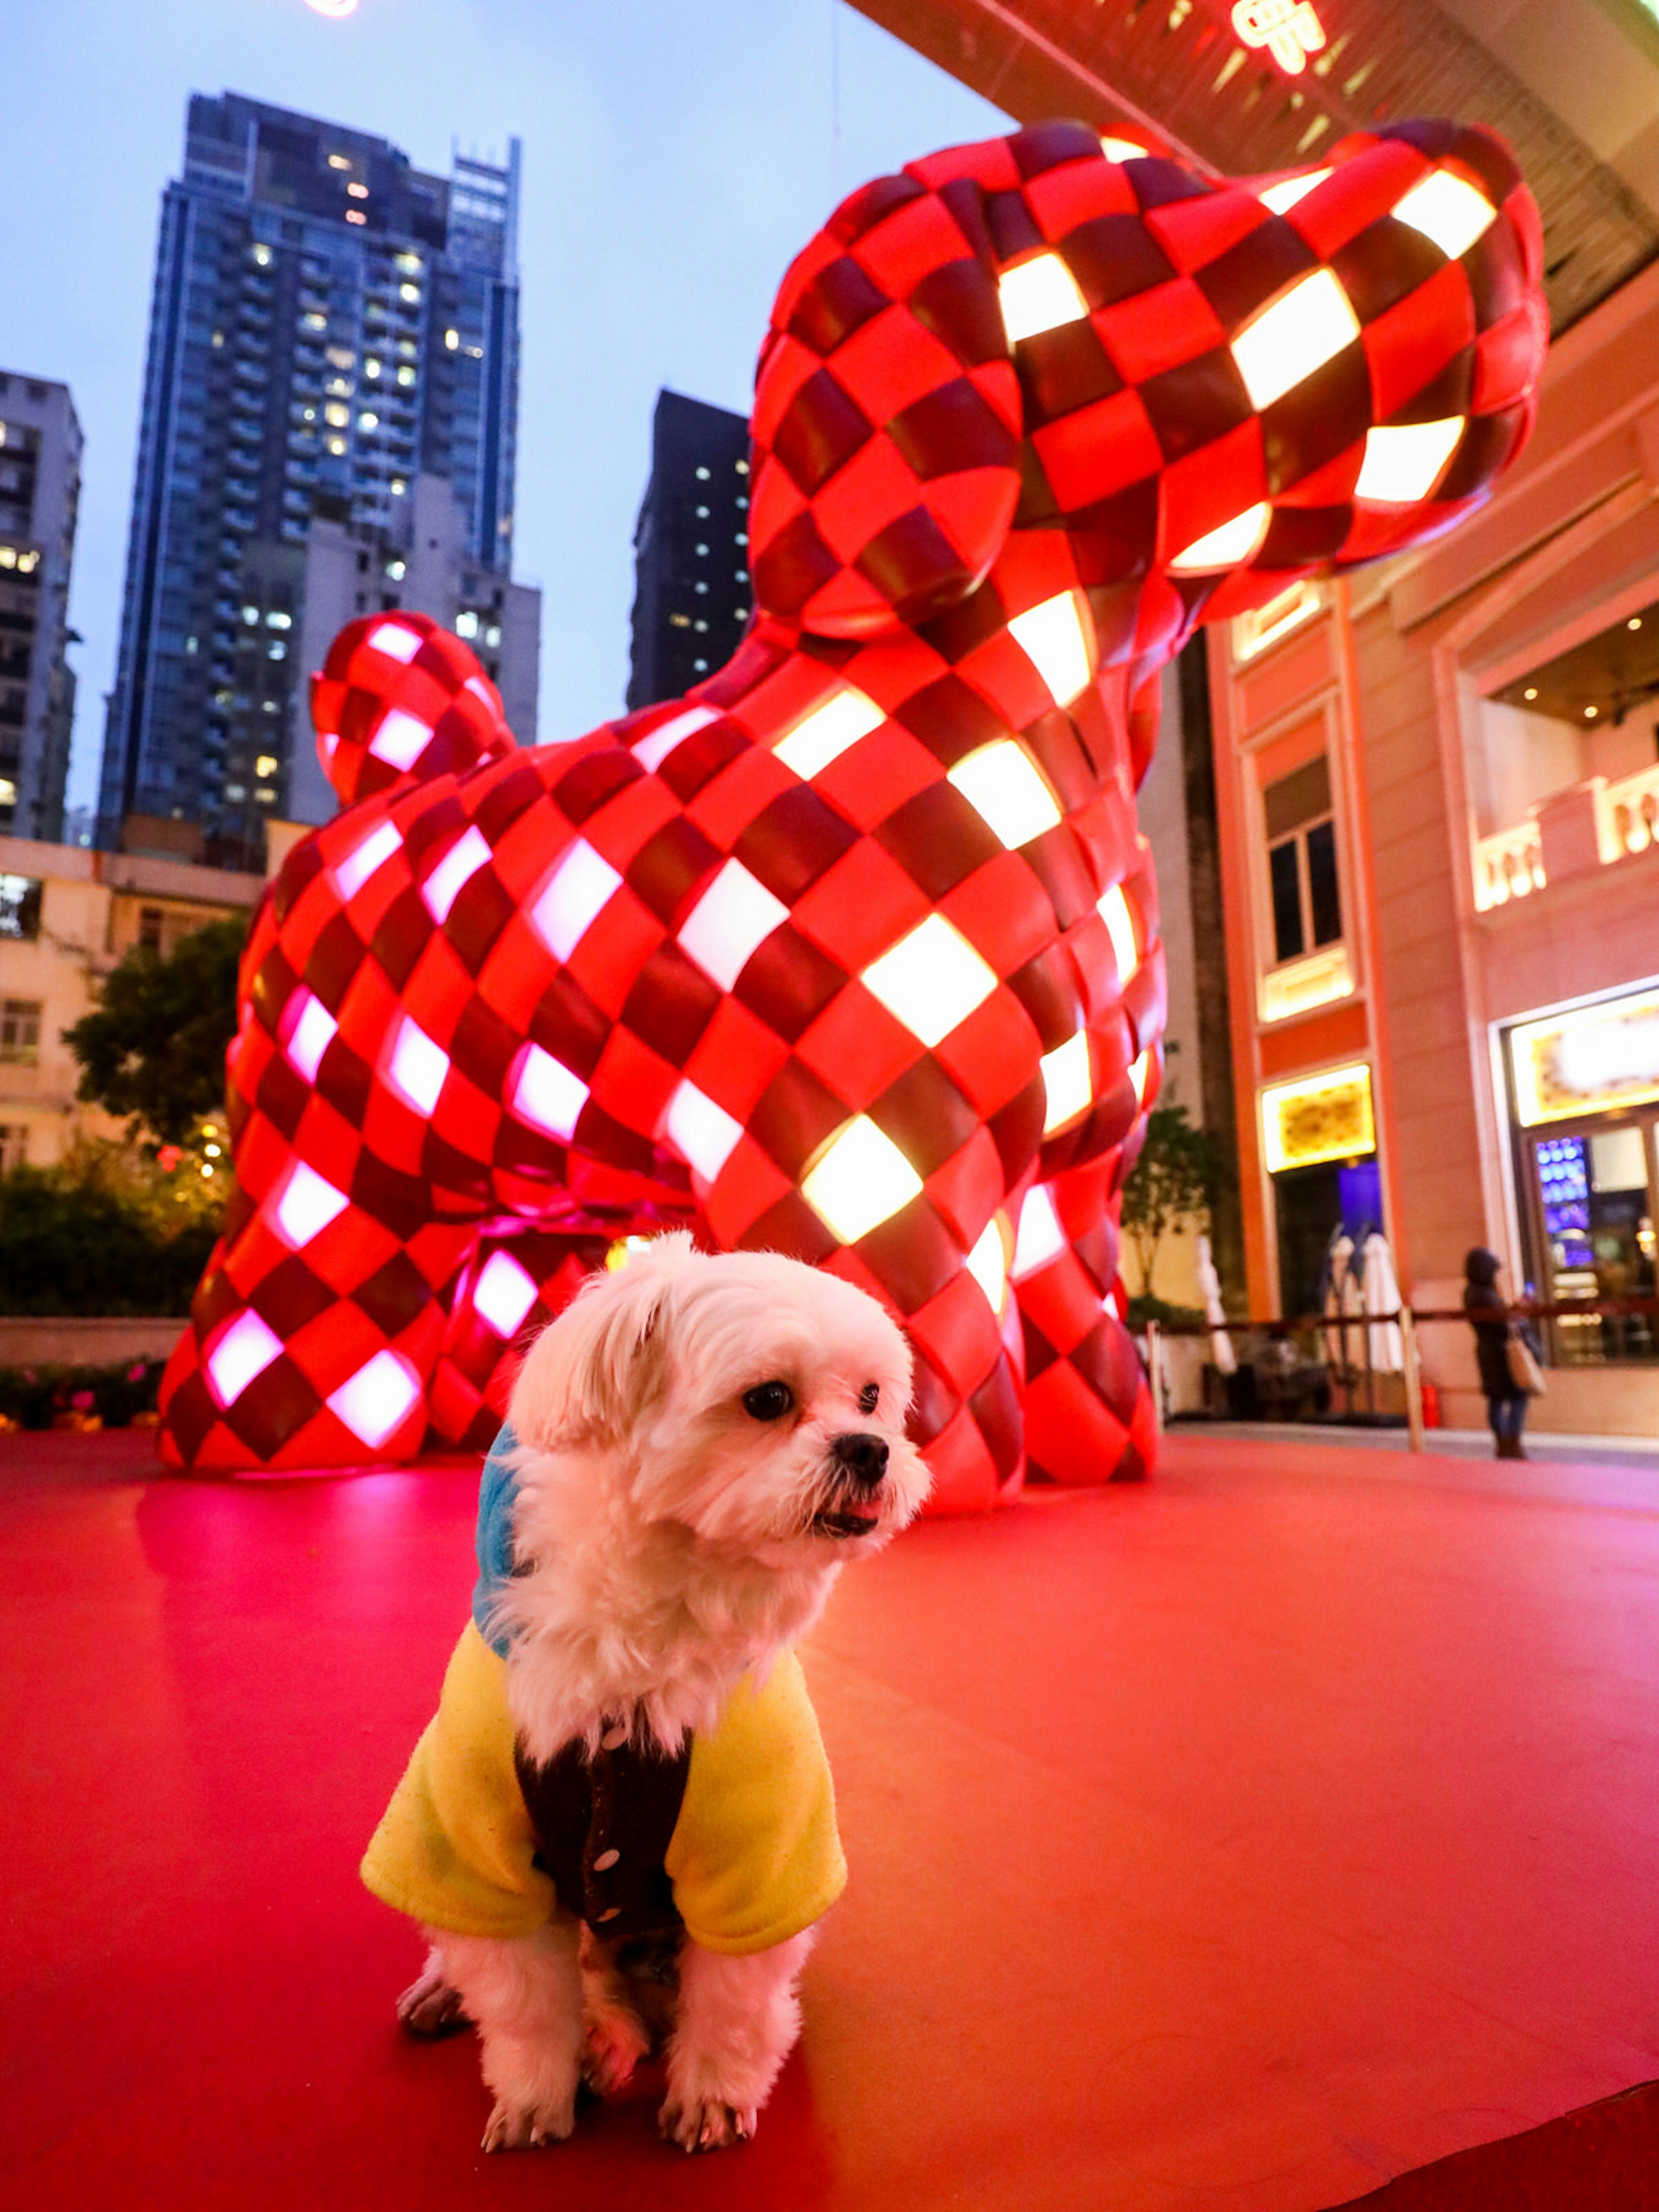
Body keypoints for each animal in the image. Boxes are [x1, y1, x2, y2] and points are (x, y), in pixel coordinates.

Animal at [362, 1247, 929, 2159]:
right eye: (768, 1400)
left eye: (873, 1399)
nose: (872, 1449)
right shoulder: (480, 1849)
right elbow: (524, 2006)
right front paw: (536, 2094)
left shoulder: (757, 1859)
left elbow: (733, 2005)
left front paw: (713, 2096)